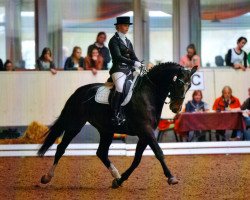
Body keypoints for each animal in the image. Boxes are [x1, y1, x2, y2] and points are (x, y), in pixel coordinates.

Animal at [37, 62, 197, 188]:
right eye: (179, 83)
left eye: (189, 86)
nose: (176, 108)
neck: (148, 93)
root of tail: (79, 91)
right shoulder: (146, 130)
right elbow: (159, 153)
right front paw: (171, 177)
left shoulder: (144, 134)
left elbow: (137, 160)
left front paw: (120, 181)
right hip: (75, 124)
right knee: (61, 148)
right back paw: (47, 177)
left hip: (106, 130)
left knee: (101, 152)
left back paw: (116, 175)